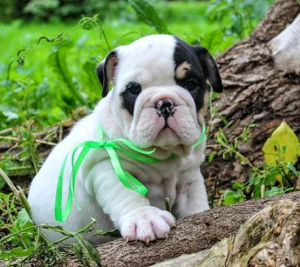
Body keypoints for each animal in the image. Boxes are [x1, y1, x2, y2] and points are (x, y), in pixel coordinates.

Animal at [28, 34, 223, 246]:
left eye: (191, 85)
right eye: (134, 89)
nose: (165, 103)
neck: (163, 154)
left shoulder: (190, 175)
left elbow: (194, 199)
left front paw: (200, 213)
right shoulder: (105, 166)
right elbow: (127, 193)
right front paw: (145, 218)